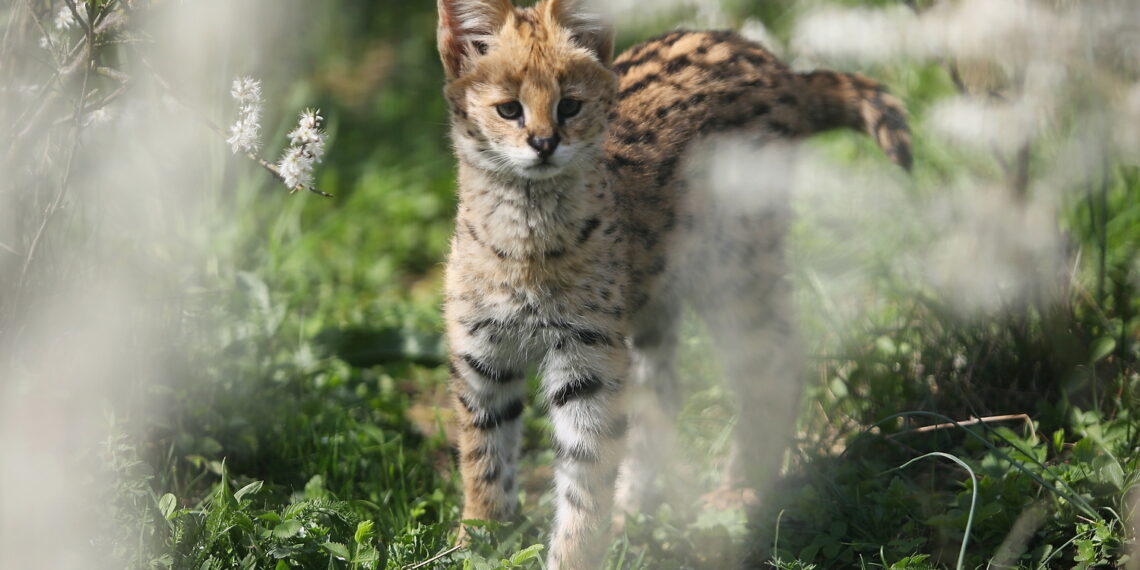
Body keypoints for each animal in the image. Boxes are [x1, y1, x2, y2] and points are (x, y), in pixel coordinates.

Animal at [433, 2, 907, 567]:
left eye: (570, 106)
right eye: (508, 109)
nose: (544, 144)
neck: (524, 227)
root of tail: (780, 67)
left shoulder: (587, 359)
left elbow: (584, 476)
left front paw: (573, 555)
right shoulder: (483, 354)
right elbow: (483, 459)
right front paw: (477, 544)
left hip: (733, 267)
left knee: (776, 362)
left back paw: (740, 493)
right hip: (657, 301)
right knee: (663, 392)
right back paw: (638, 509)